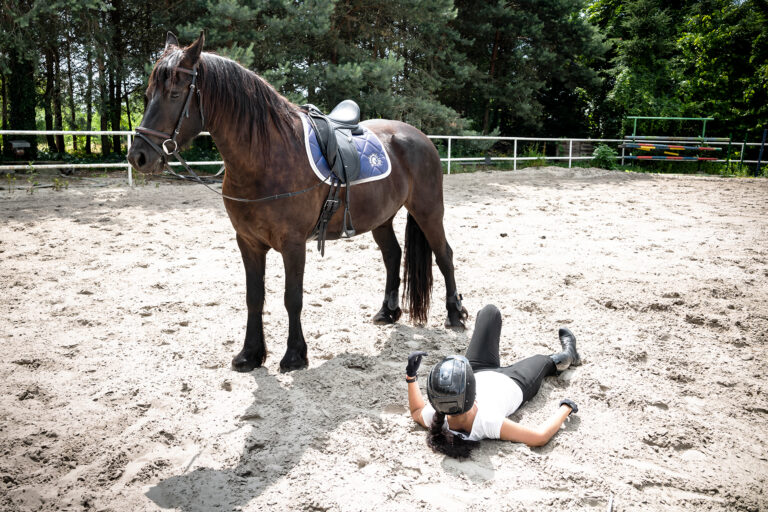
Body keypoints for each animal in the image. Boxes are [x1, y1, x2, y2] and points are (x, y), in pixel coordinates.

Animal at [126, 34, 468, 372]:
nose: (138, 156)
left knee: (444, 254)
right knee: (393, 255)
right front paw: (250, 355)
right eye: (147, 94)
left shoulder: (293, 244)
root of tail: (418, 136)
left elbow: (293, 298)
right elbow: (254, 297)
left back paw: (455, 315)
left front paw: (294, 356)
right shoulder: (248, 242)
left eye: (174, 93)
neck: (266, 155)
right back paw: (388, 312)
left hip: (428, 210)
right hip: (381, 217)